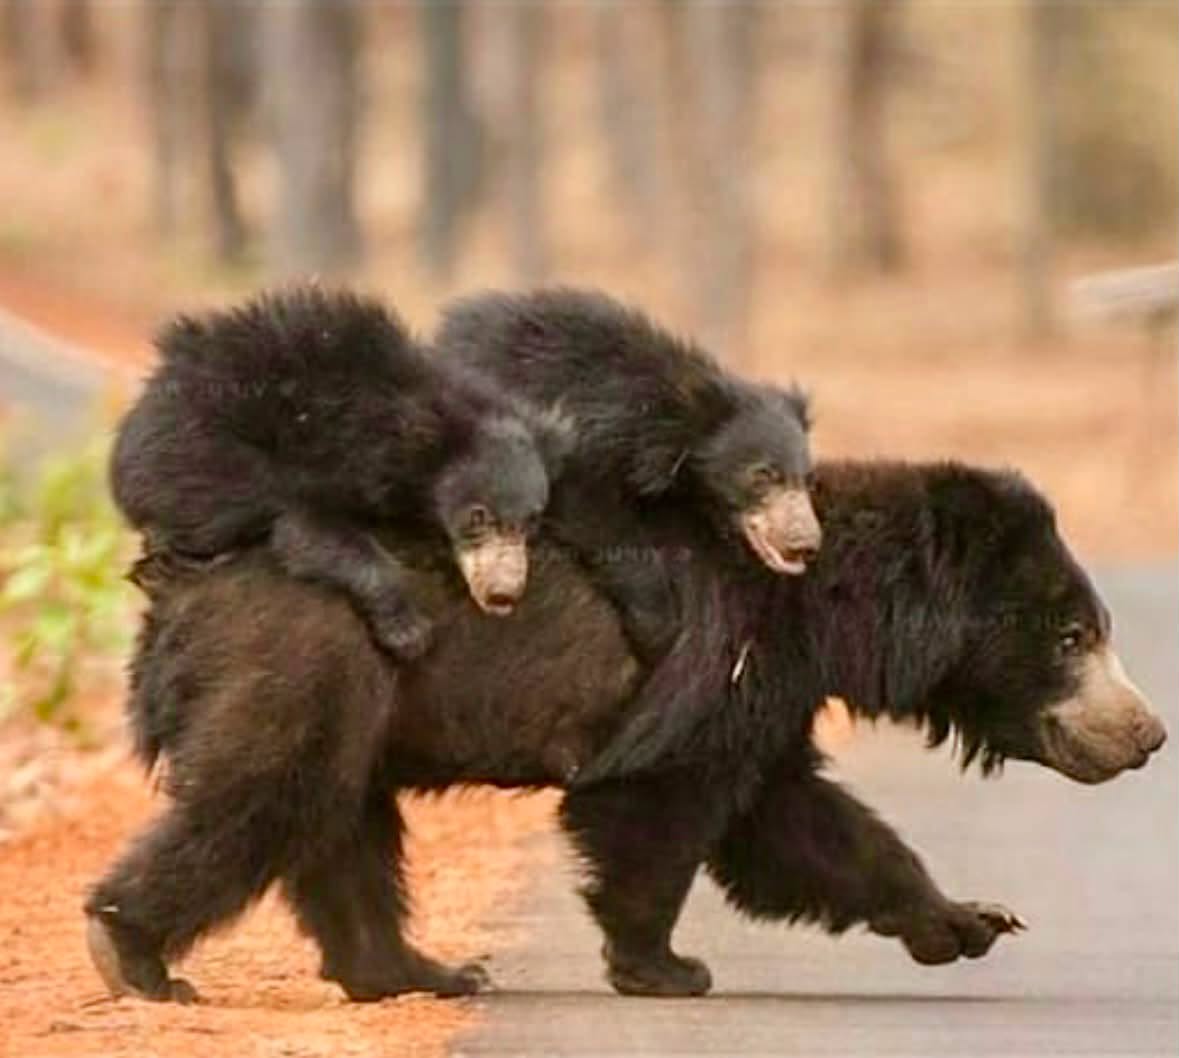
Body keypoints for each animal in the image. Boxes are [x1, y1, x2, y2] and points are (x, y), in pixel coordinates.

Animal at [83, 459, 1166, 1004]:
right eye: (1074, 634)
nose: (1148, 733)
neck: (827, 612)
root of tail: (181, 573)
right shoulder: (715, 655)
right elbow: (661, 805)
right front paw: (666, 965)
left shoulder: (767, 692)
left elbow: (797, 822)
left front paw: (967, 919)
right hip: (309, 661)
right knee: (264, 798)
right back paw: (134, 952)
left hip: (360, 694)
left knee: (341, 829)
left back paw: (412, 970)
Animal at [109, 285, 563, 662]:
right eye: (477, 516)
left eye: (531, 522)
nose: (502, 595)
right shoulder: (332, 462)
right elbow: (311, 531)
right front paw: (409, 632)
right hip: (199, 456)